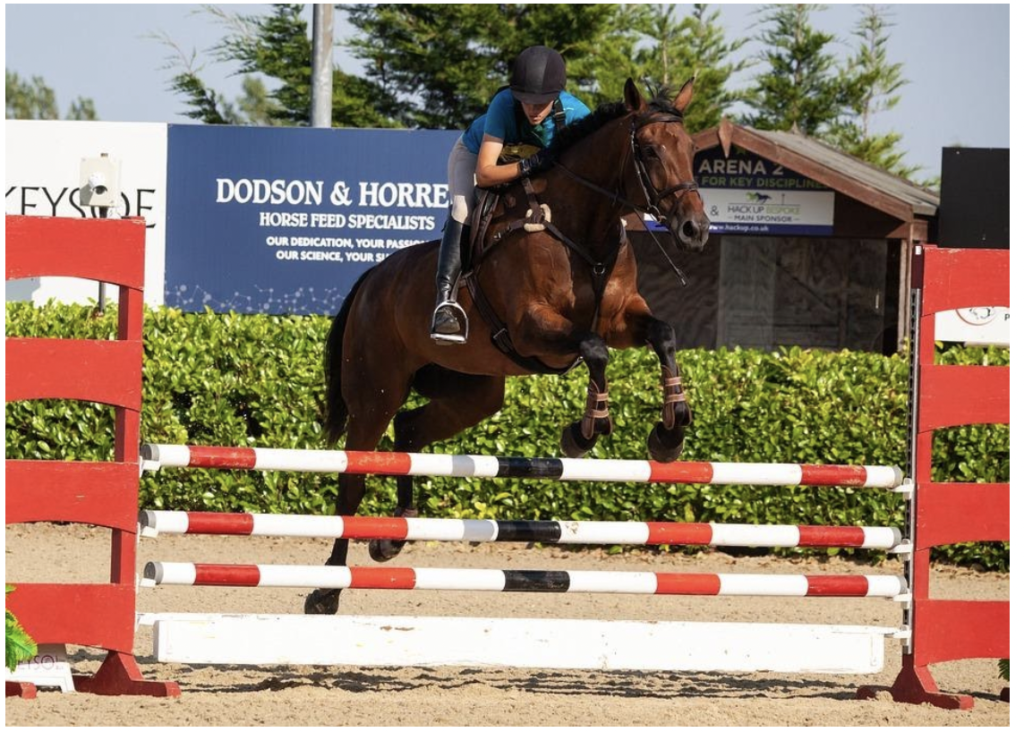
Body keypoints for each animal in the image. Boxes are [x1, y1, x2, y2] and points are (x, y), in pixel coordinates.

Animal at [303, 77, 708, 614]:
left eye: (691, 151)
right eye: (648, 150)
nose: (694, 229)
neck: (582, 229)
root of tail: (372, 278)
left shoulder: (624, 317)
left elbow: (663, 334)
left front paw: (670, 432)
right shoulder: (532, 327)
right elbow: (595, 349)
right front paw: (585, 431)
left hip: (472, 391)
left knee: (409, 432)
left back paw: (391, 538)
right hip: (375, 393)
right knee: (354, 479)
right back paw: (327, 589)